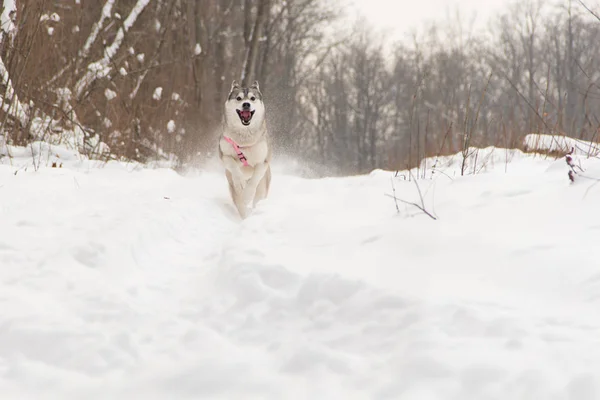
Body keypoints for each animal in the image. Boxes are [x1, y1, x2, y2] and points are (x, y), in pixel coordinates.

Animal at [218, 80, 272, 219]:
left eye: (252, 98)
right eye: (239, 98)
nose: (246, 104)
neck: (244, 140)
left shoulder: (263, 160)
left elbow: (255, 179)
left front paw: (248, 195)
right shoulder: (224, 153)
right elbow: (233, 166)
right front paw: (240, 182)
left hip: (263, 187)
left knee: (258, 198)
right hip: (231, 185)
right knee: (239, 202)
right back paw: (245, 215)